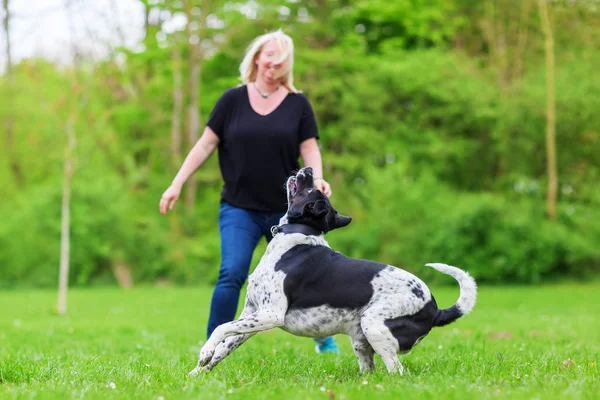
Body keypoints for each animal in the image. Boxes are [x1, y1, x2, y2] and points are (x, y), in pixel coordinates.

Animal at [190, 166, 476, 376]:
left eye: (310, 188)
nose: (307, 168)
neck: (297, 236)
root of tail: (435, 308)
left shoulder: (270, 315)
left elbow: (220, 328)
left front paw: (203, 353)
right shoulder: (252, 314)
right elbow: (225, 345)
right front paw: (198, 373)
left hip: (374, 325)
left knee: (396, 371)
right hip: (361, 340)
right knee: (371, 371)